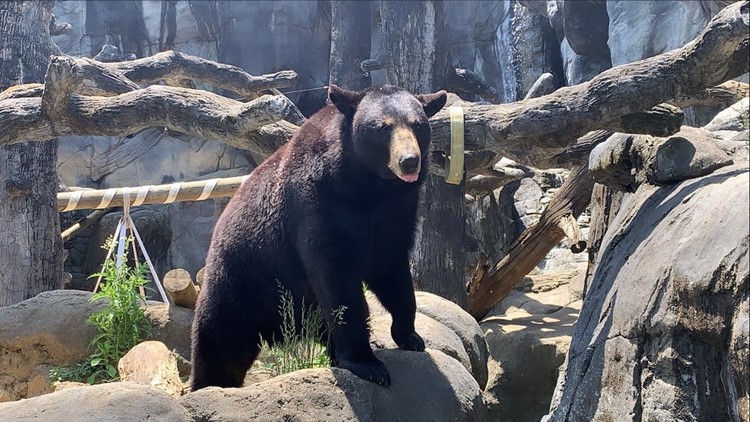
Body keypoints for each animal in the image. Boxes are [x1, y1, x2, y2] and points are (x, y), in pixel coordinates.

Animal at [190, 84, 447, 391]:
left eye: (417, 124)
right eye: (383, 127)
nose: (409, 161)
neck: (369, 187)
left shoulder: (397, 212)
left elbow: (392, 269)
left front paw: (409, 335)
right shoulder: (318, 204)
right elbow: (336, 278)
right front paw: (367, 364)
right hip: (241, 281)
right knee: (220, 344)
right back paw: (209, 385)